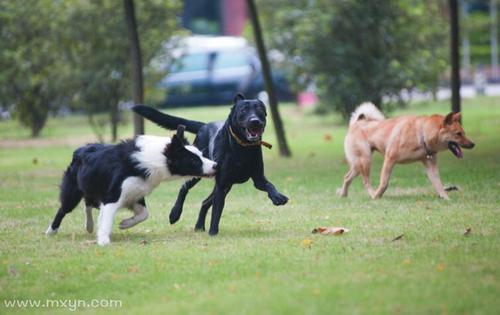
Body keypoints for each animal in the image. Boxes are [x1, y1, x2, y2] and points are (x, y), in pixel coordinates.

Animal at [47, 126, 217, 247]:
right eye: (194, 161)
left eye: (202, 155)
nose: (216, 165)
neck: (155, 159)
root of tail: (80, 149)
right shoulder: (113, 195)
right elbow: (107, 219)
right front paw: (103, 240)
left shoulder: (135, 193)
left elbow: (144, 214)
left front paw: (125, 224)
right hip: (73, 192)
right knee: (64, 209)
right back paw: (51, 231)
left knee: (88, 204)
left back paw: (89, 226)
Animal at [133, 92, 290, 236]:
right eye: (243, 111)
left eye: (260, 110)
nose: (255, 121)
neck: (242, 148)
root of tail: (204, 126)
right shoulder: (221, 184)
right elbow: (217, 211)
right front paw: (213, 233)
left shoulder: (257, 179)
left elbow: (269, 186)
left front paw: (278, 197)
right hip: (199, 172)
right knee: (184, 188)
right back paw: (175, 214)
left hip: (227, 185)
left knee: (205, 202)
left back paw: (199, 226)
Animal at [338, 102, 474, 199]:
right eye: (458, 134)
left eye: (464, 133)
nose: (473, 144)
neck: (421, 134)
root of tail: (357, 123)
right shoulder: (389, 159)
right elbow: (384, 183)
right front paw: (377, 195)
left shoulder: (431, 166)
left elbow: (438, 184)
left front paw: (446, 198)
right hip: (365, 161)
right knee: (365, 181)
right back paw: (372, 194)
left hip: (358, 164)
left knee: (347, 177)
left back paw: (343, 195)